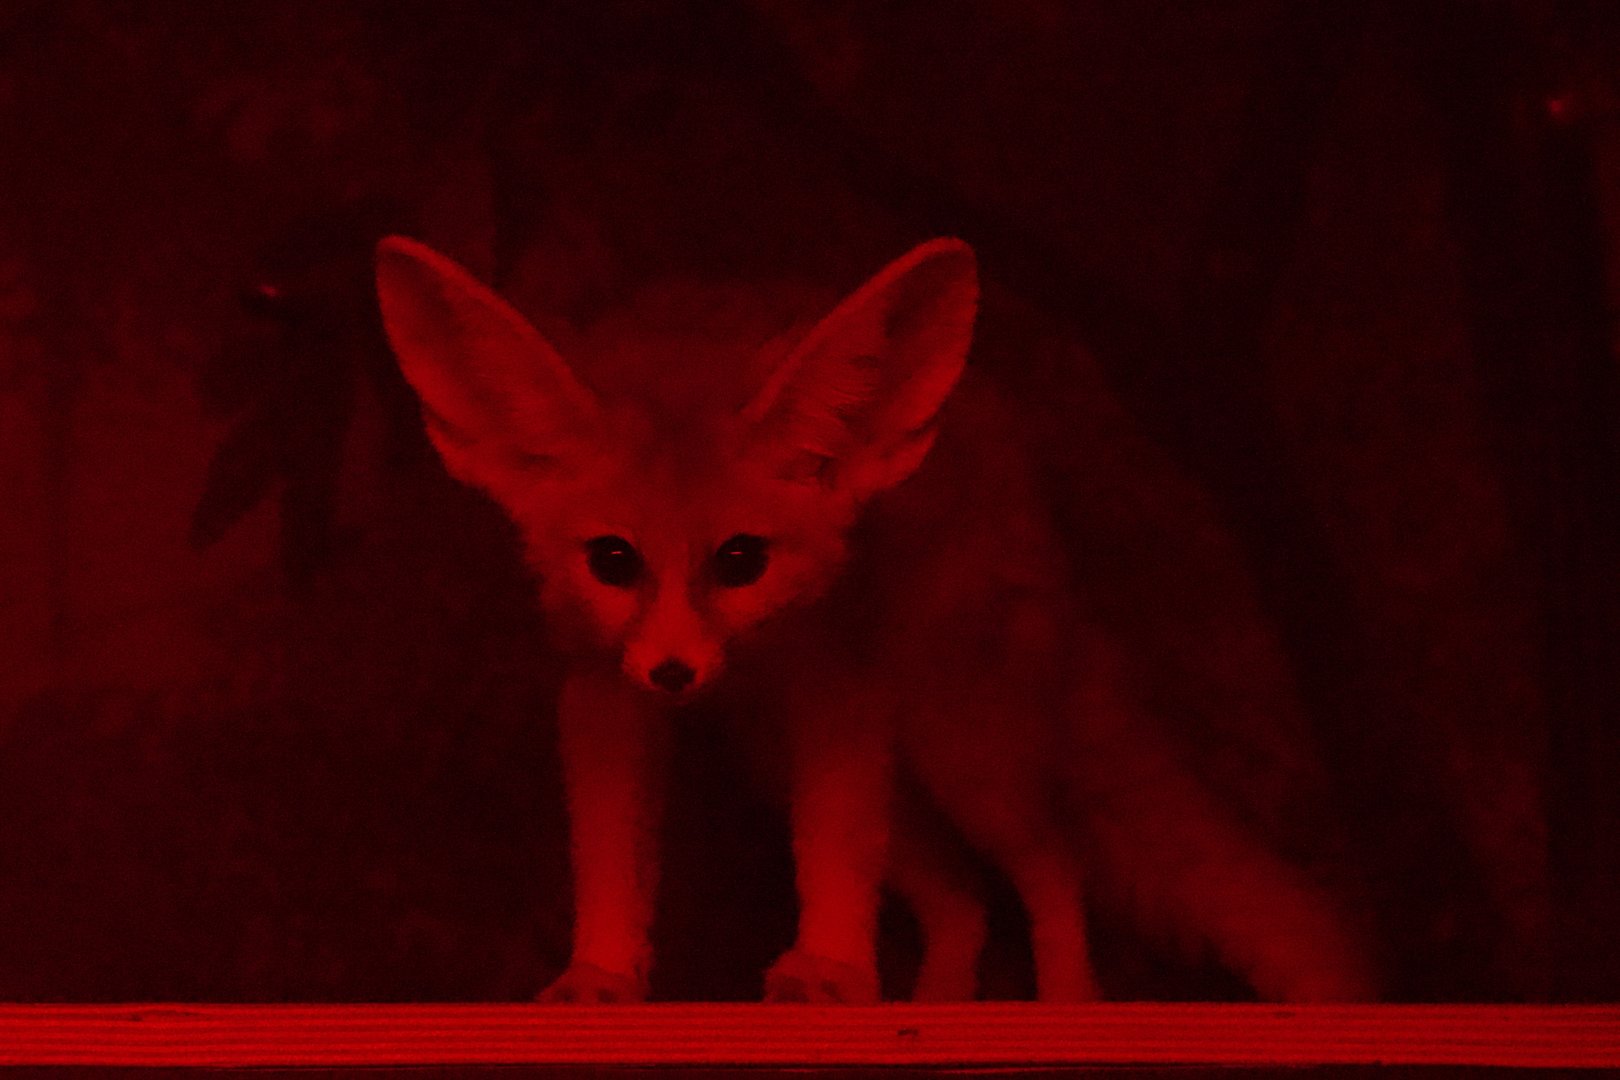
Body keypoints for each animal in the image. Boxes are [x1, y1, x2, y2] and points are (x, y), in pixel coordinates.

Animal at [373, 233, 1377, 1004]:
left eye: (741, 560)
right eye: (613, 561)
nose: (675, 675)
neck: (758, 652)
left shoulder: (840, 690)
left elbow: (834, 855)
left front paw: (830, 968)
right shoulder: (602, 691)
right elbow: (611, 859)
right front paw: (604, 976)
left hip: (962, 751)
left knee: (1055, 864)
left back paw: (1066, 1005)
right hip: (802, 766)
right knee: (964, 898)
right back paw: (938, 1008)